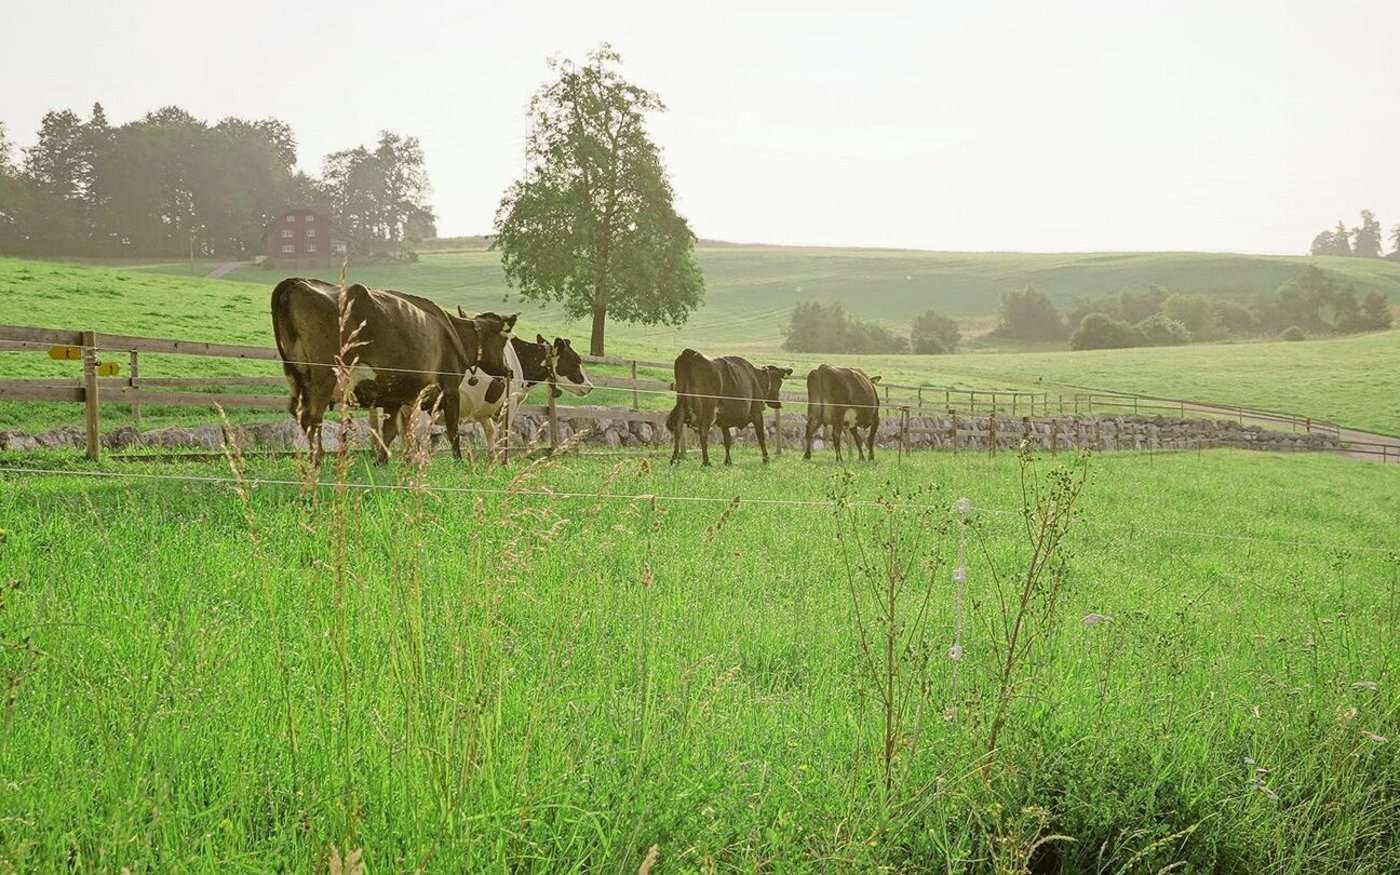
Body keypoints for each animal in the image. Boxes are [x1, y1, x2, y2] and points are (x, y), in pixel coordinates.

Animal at [270, 277, 515, 464]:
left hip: (298, 376)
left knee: (300, 414)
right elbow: (451, 429)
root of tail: (298, 282)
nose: (509, 370)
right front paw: (458, 462)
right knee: (313, 417)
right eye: (504, 340)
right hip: (325, 374)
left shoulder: (396, 395)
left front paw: (385, 462)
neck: (453, 332)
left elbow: (394, 432)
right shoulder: (449, 387)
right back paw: (318, 461)